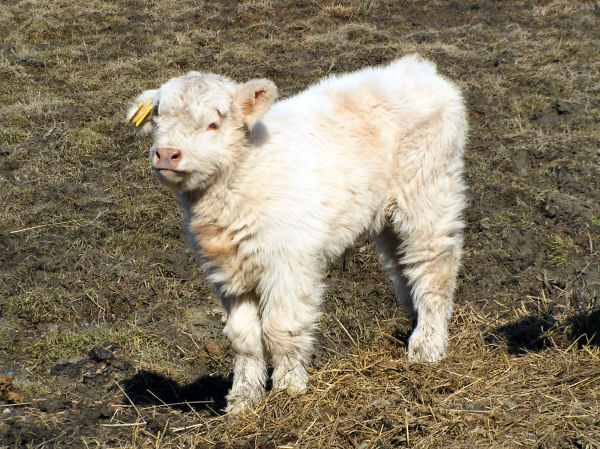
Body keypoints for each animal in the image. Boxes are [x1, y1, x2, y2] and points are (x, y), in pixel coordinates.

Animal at [129, 54, 468, 412]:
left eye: (213, 124)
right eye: (158, 119)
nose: (167, 154)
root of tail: (417, 67)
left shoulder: (288, 260)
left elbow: (281, 329)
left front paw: (288, 391)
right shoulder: (229, 272)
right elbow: (243, 338)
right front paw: (243, 401)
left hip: (428, 192)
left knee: (434, 266)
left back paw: (426, 347)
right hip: (391, 217)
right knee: (404, 269)